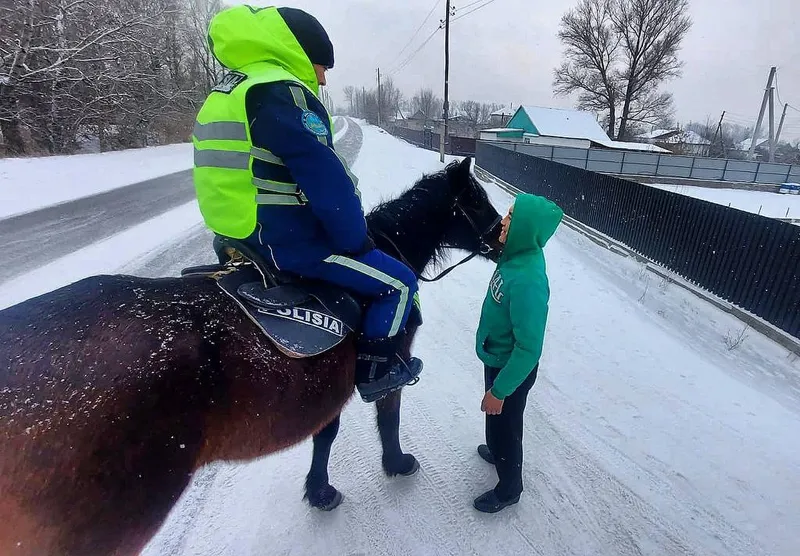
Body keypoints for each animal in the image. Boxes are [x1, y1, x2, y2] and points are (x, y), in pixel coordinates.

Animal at [0, 154, 500, 552]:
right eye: (476, 200)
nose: (502, 237)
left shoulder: (327, 387)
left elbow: (325, 435)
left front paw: (319, 491)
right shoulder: (384, 368)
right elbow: (387, 416)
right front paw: (395, 464)